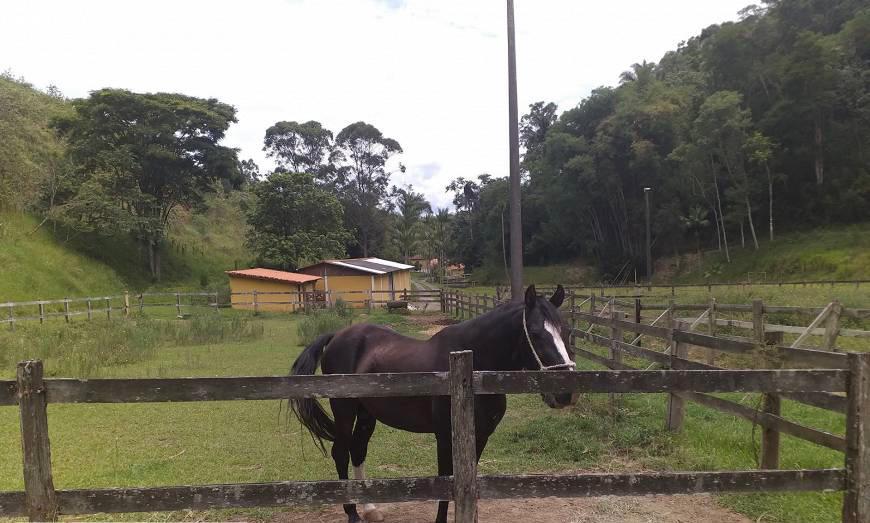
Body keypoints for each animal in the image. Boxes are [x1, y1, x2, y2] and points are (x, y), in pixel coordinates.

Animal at [292, 284, 580, 520]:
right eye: (536, 333)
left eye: (566, 330)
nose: (566, 393)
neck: (472, 370)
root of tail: (337, 336)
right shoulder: (444, 436)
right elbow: (445, 482)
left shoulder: (480, 436)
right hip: (344, 410)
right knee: (340, 452)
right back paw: (352, 513)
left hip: (366, 414)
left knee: (358, 450)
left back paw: (370, 509)